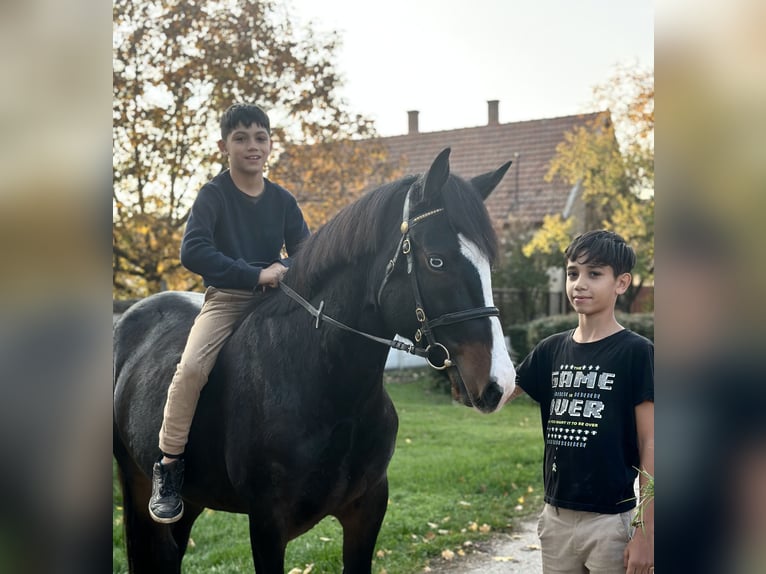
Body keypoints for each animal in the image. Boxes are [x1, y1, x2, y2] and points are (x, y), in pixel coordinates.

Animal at [112, 148, 516, 572]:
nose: (501, 384)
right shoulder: (267, 525)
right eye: (436, 261)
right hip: (137, 482)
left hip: (192, 498)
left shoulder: (367, 511)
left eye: (488, 263)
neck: (323, 386)